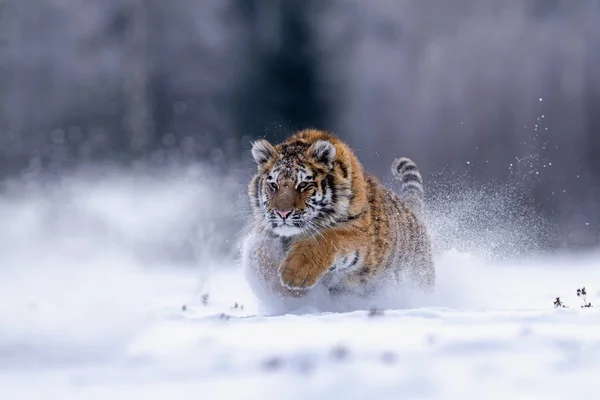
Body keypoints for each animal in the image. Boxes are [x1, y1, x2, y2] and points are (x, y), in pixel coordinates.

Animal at [241, 128, 434, 306]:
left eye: (303, 184)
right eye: (273, 185)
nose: (282, 213)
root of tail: (412, 209)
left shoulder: (360, 234)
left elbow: (327, 238)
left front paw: (293, 275)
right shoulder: (264, 232)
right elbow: (259, 252)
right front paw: (282, 290)